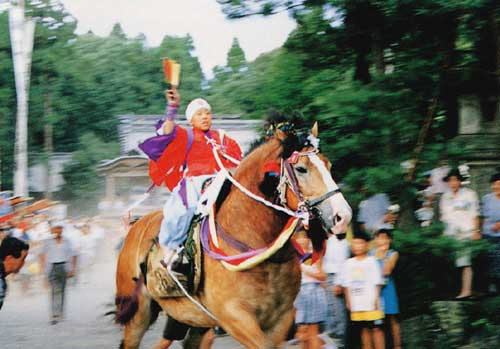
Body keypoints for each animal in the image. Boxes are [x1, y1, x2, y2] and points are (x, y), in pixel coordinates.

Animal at [116, 125, 352, 348]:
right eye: (301, 168)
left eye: (328, 165)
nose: (343, 216)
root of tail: (136, 225)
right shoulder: (235, 317)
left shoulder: (282, 318)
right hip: (138, 312)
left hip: (193, 318)